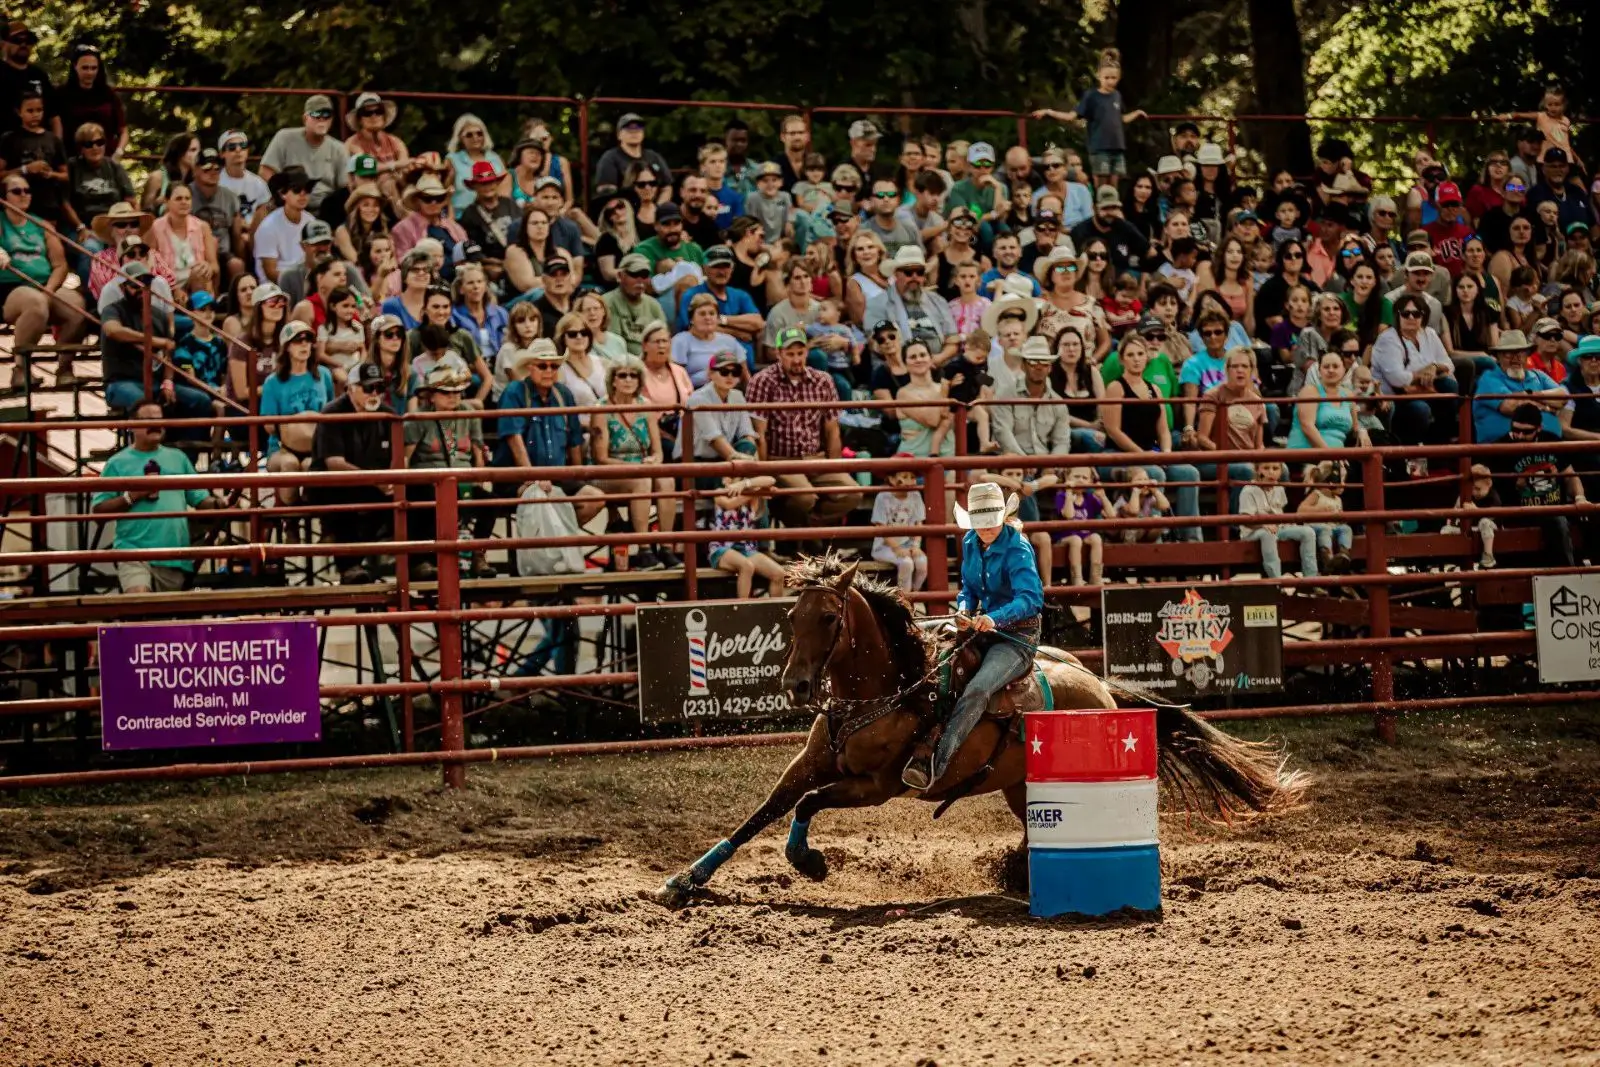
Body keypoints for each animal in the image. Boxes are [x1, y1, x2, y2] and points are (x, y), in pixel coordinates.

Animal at [653, 556, 1308, 908]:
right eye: (791, 616)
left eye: (831, 617)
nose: (794, 685)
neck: (884, 689)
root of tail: (1100, 687)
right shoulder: (812, 763)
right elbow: (764, 811)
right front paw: (685, 881)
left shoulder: (878, 786)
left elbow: (808, 805)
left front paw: (809, 863)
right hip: (1021, 788)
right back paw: (1017, 871)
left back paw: (1017, 874)